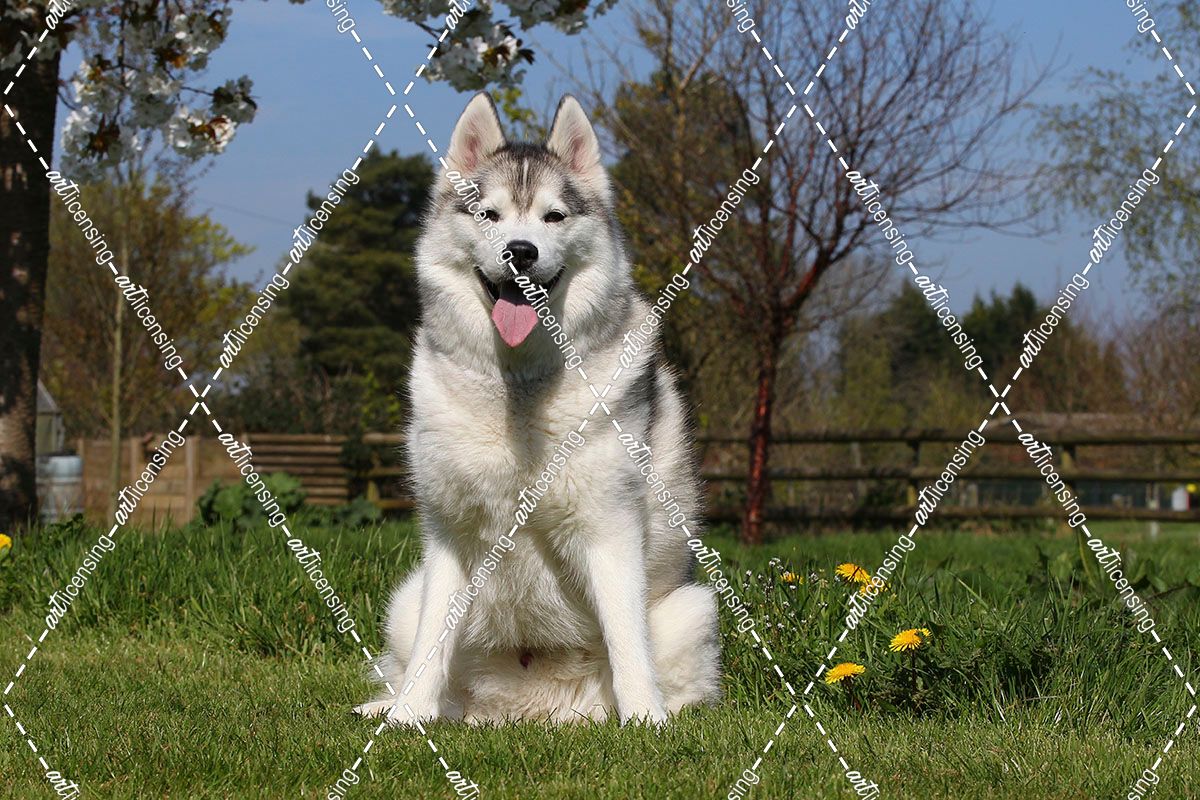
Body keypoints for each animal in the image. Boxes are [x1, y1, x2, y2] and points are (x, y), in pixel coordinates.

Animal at [354, 93, 720, 725]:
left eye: (553, 217)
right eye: (490, 215)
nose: (519, 251)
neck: (520, 388)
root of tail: (527, 710)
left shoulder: (609, 528)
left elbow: (628, 639)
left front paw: (646, 721)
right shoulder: (449, 537)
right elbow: (432, 640)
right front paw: (407, 718)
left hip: (693, 609)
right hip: (404, 599)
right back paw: (397, 707)